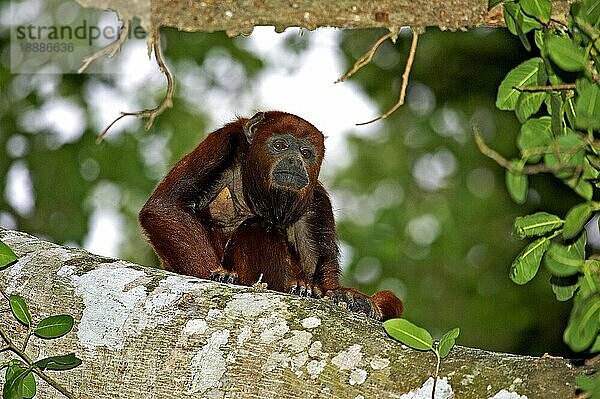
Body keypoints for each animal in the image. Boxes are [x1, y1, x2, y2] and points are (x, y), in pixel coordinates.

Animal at [139, 110, 404, 322]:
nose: (295, 161)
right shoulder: (223, 141)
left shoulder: (316, 202)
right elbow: (165, 207)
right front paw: (220, 276)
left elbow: (320, 271)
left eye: (306, 153)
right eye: (280, 145)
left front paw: (346, 296)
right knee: (258, 226)